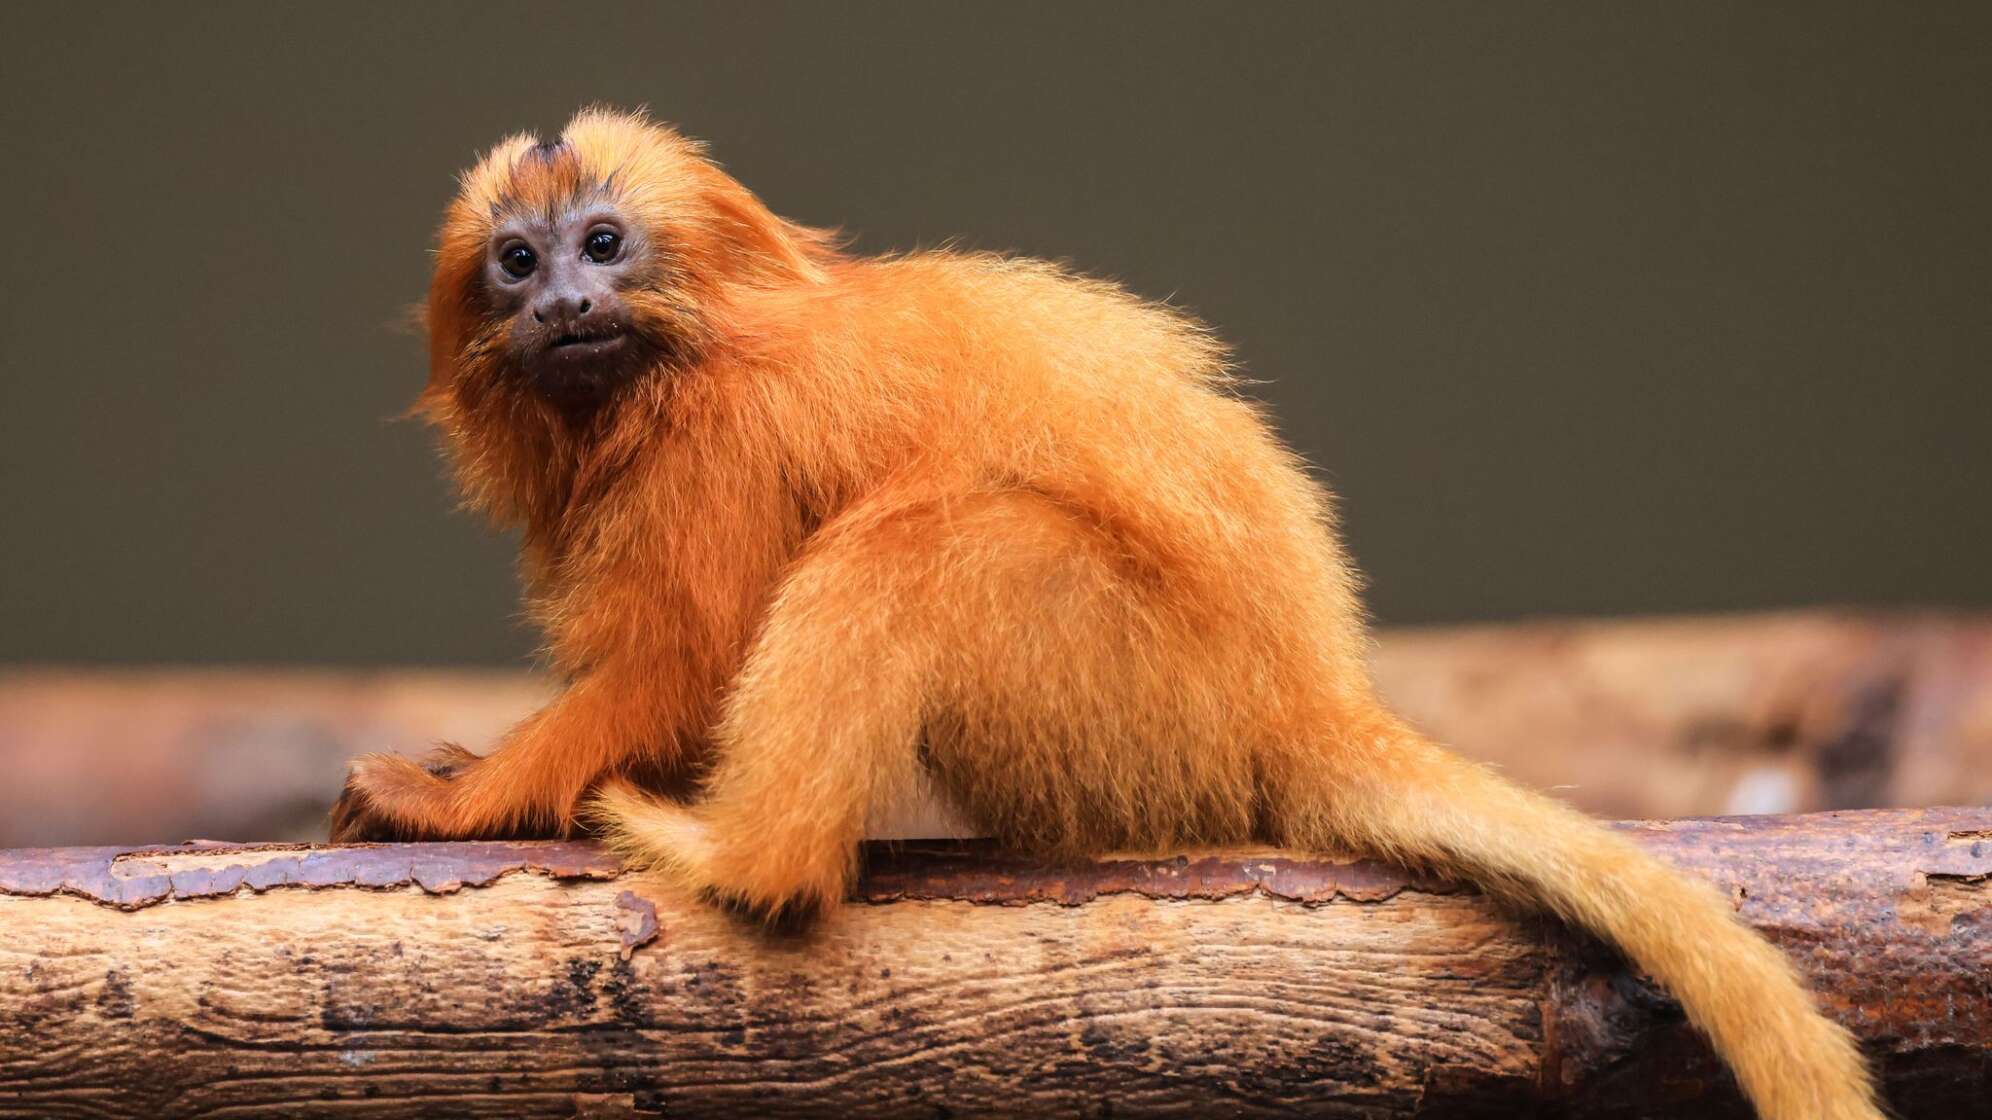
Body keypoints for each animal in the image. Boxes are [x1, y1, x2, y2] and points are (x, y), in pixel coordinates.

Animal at [330, 106, 1880, 1116]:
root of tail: (1302, 697)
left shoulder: (721, 443)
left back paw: (746, 861)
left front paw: (457, 803)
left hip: (1138, 692)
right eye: (516, 262)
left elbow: (683, 662)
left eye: (601, 242)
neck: (673, 355)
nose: (564, 300)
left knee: (918, 546)